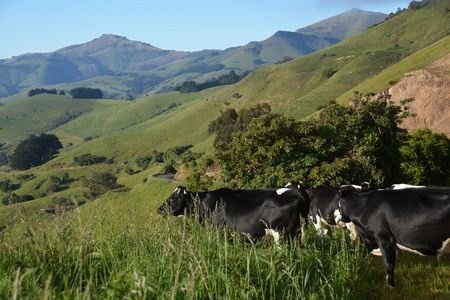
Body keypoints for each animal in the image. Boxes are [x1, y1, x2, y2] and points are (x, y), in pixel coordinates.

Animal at [157, 185, 310, 244]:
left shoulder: (220, 232)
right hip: (296, 233)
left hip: (281, 233)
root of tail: (295, 191)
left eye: (172, 198)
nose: (159, 209)